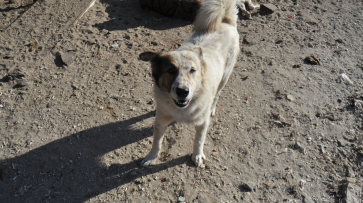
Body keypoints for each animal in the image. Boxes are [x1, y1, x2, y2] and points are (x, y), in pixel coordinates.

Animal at [140, 0, 242, 167]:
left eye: (193, 70)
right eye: (170, 70)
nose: (183, 91)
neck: (181, 109)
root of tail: (225, 21)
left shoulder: (202, 123)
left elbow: (199, 140)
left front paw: (197, 155)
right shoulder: (160, 120)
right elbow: (156, 142)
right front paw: (151, 157)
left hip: (224, 78)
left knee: (217, 95)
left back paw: (212, 107)